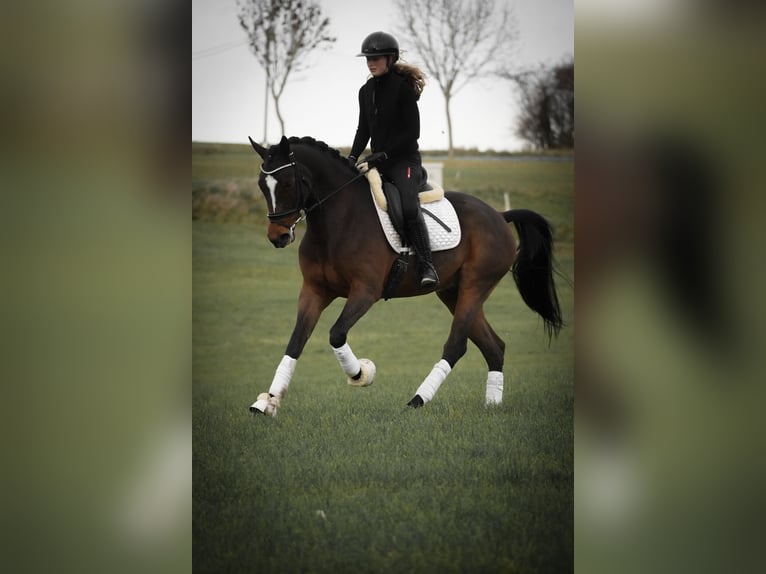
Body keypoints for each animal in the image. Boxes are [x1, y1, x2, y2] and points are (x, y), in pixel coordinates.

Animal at [248, 135, 563, 416]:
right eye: (262, 185)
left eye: (288, 183)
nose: (277, 237)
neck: (337, 222)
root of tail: (499, 215)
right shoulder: (314, 291)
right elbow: (295, 342)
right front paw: (268, 402)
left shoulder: (365, 292)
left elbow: (336, 334)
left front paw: (361, 373)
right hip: (453, 293)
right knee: (494, 347)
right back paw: (492, 406)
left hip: (475, 287)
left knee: (456, 346)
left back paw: (417, 401)